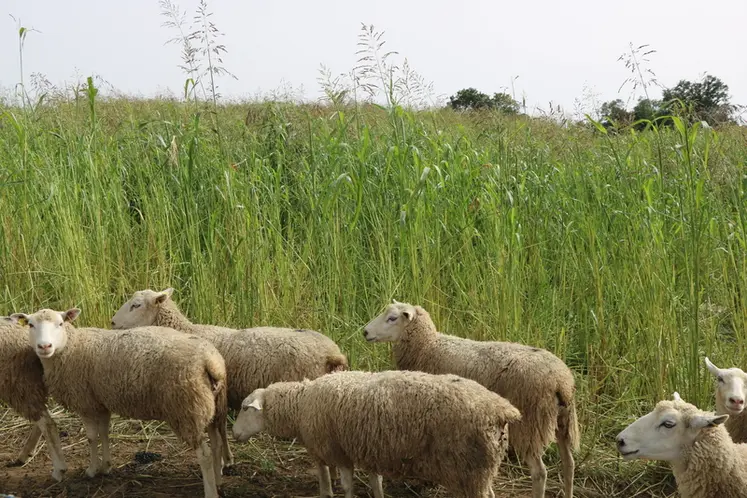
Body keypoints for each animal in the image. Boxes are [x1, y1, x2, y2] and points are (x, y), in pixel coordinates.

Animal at [9, 308, 228, 498]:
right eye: (30, 325)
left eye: (60, 323)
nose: (44, 347)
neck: (72, 347)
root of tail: (211, 361)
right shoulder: (100, 402)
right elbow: (104, 433)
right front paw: (106, 466)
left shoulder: (85, 402)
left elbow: (91, 437)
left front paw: (91, 470)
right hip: (211, 407)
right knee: (216, 444)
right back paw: (218, 481)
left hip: (187, 409)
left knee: (205, 454)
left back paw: (210, 492)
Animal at [110, 287, 349, 465]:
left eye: (136, 305)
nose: (112, 322)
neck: (188, 330)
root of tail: (333, 353)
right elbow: (222, 426)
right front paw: (227, 458)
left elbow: (219, 428)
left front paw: (225, 459)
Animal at [232, 369, 521, 498]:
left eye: (246, 408)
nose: (234, 434)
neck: (301, 404)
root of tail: (503, 409)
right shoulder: (368, 448)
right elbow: (375, 483)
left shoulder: (339, 451)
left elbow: (347, 486)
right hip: (482, 469)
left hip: (469, 466)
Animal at [363, 301, 579, 498]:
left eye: (392, 318)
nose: (365, 332)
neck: (428, 346)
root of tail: (561, 382)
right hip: (563, 421)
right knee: (569, 463)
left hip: (531, 424)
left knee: (540, 473)